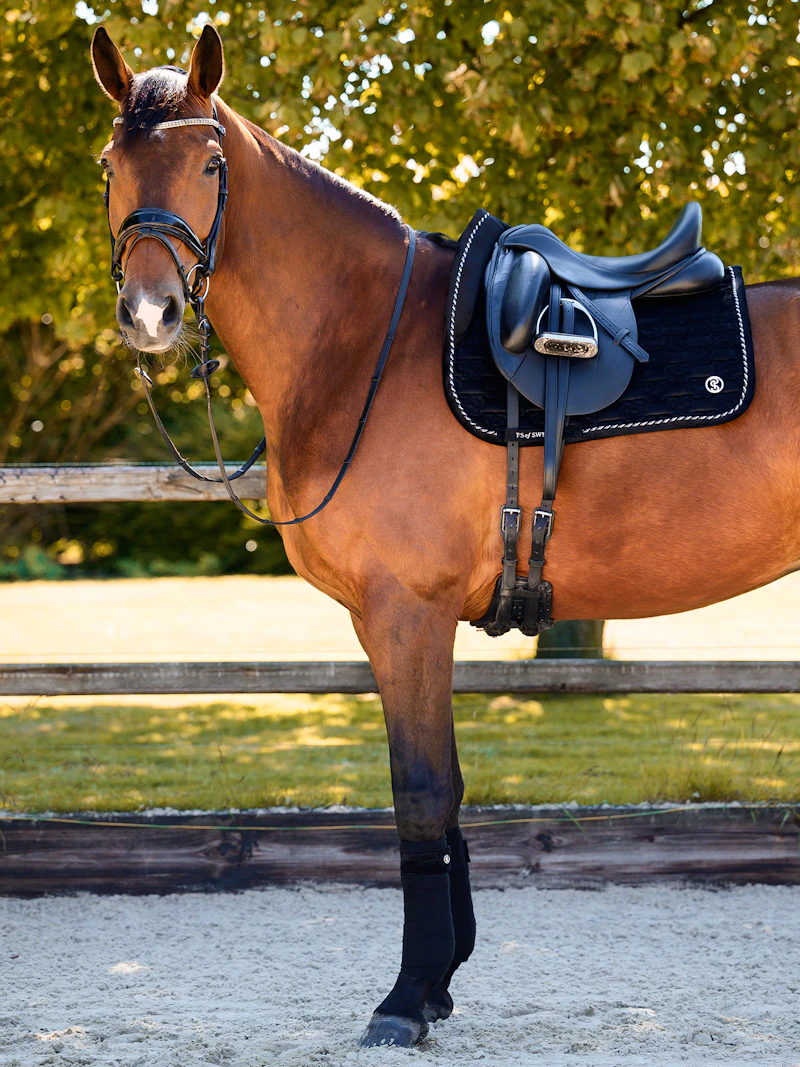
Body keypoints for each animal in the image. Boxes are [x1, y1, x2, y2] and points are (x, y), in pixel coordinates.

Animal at [90, 24, 800, 1048]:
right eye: (112, 165)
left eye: (211, 164)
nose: (150, 313)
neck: (363, 344)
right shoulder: (395, 622)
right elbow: (450, 788)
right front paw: (439, 984)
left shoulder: (407, 613)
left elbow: (420, 794)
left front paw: (405, 996)